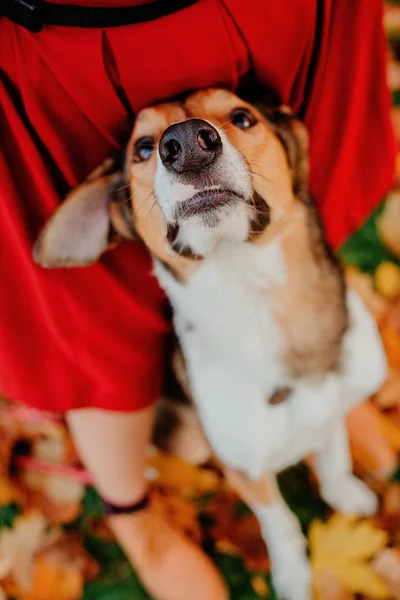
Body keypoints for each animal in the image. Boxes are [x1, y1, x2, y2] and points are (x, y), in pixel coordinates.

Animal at [35, 89, 388, 600]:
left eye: (242, 117)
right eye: (143, 148)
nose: (185, 144)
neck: (256, 297)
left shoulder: (332, 405)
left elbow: (334, 451)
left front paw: (343, 491)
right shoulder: (247, 471)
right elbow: (281, 525)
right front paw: (294, 579)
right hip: (189, 441)